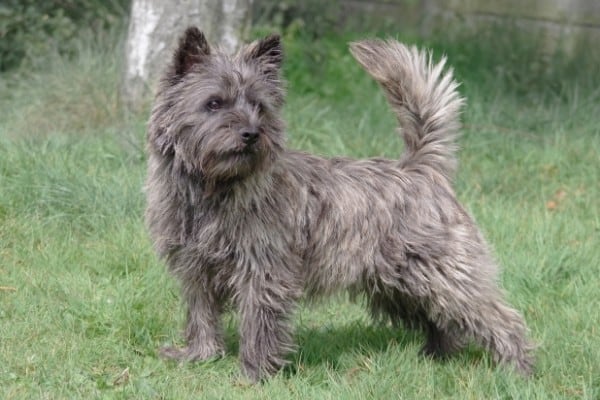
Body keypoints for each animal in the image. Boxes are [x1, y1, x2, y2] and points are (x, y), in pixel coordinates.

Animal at [145, 26, 536, 382]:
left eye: (259, 106)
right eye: (213, 103)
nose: (252, 134)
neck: (211, 192)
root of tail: (420, 168)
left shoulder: (263, 272)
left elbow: (258, 325)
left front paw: (252, 375)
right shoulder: (195, 269)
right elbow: (201, 315)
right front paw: (200, 356)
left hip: (446, 274)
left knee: (498, 316)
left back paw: (518, 369)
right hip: (400, 282)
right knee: (441, 318)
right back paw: (437, 356)